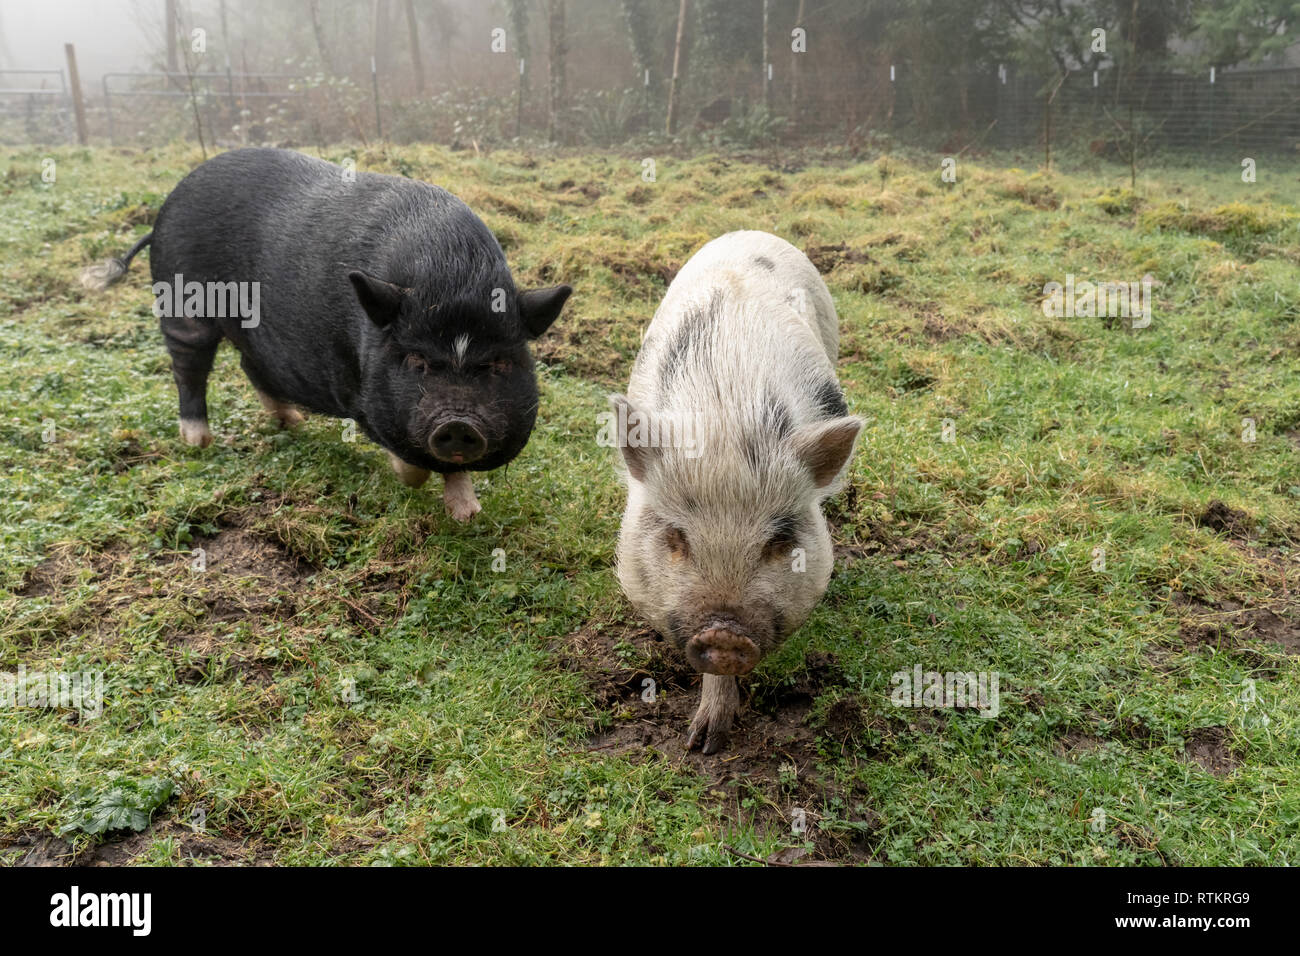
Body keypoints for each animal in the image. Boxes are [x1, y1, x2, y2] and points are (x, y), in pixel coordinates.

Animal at [81, 147, 571, 521]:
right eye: (416, 360)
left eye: (499, 363)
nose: (458, 423)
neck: (453, 275)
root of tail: (162, 214)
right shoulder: (358, 391)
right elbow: (405, 452)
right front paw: (410, 481)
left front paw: (468, 515)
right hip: (184, 307)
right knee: (189, 368)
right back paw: (200, 443)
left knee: (249, 363)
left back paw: (292, 422)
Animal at [609, 231, 861, 753]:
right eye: (676, 537)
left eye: (780, 541)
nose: (725, 636)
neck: (727, 416)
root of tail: (751, 232)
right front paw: (700, 744)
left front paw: (707, 742)